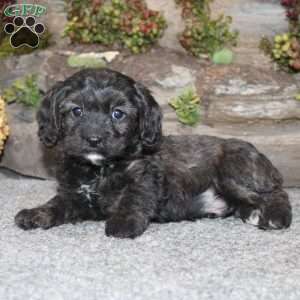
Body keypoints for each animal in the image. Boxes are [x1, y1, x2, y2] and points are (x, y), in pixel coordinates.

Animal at [14, 69, 292, 238]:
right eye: (76, 111)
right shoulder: (76, 195)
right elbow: (56, 204)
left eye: (118, 113)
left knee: (276, 194)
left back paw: (275, 217)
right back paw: (252, 214)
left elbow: (134, 198)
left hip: (230, 172)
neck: (100, 169)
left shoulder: (145, 177)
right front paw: (35, 214)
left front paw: (124, 222)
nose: (93, 139)